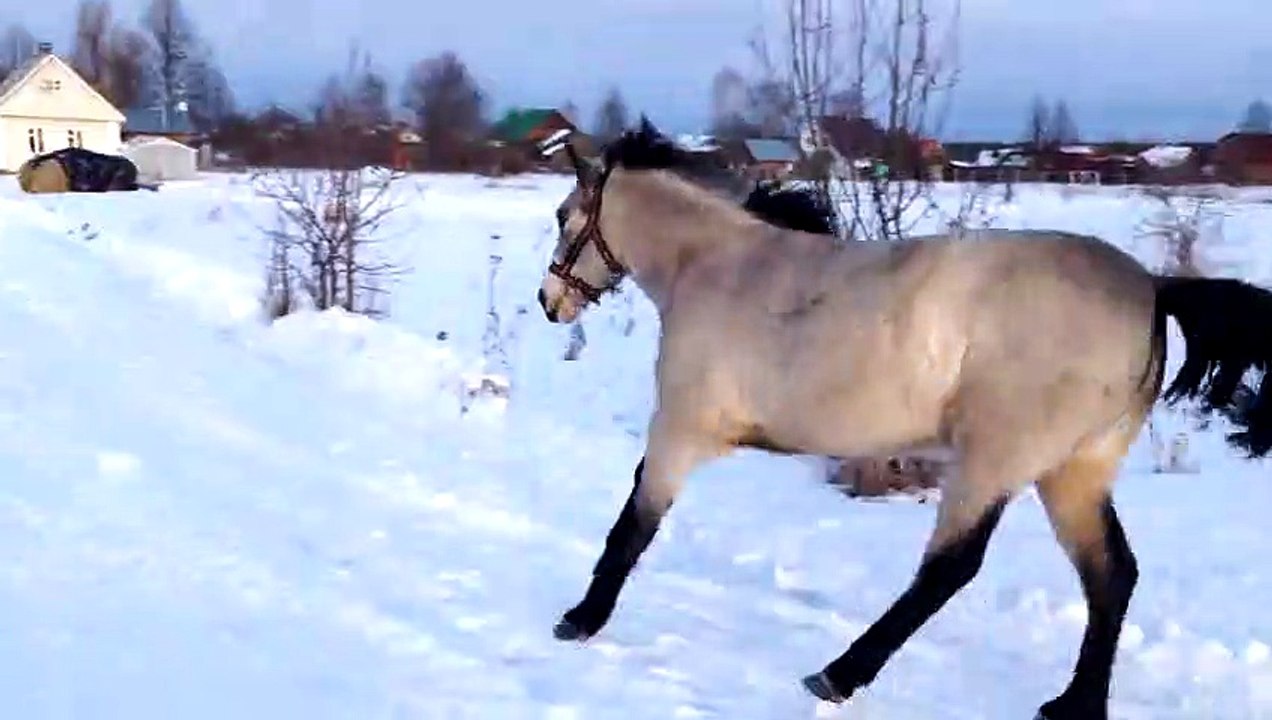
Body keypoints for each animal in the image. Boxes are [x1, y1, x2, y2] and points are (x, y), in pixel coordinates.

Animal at [534, 117, 1272, 719]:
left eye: (566, 214)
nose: (549, 301)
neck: (715, 267)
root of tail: (1152, 288)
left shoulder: (681, 430)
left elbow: (633, 526)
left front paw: (580, 620)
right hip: (1073, 473)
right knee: (1111, 576)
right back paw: (1072, 706)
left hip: (992, 464)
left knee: (951, 569)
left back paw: (837, 674)